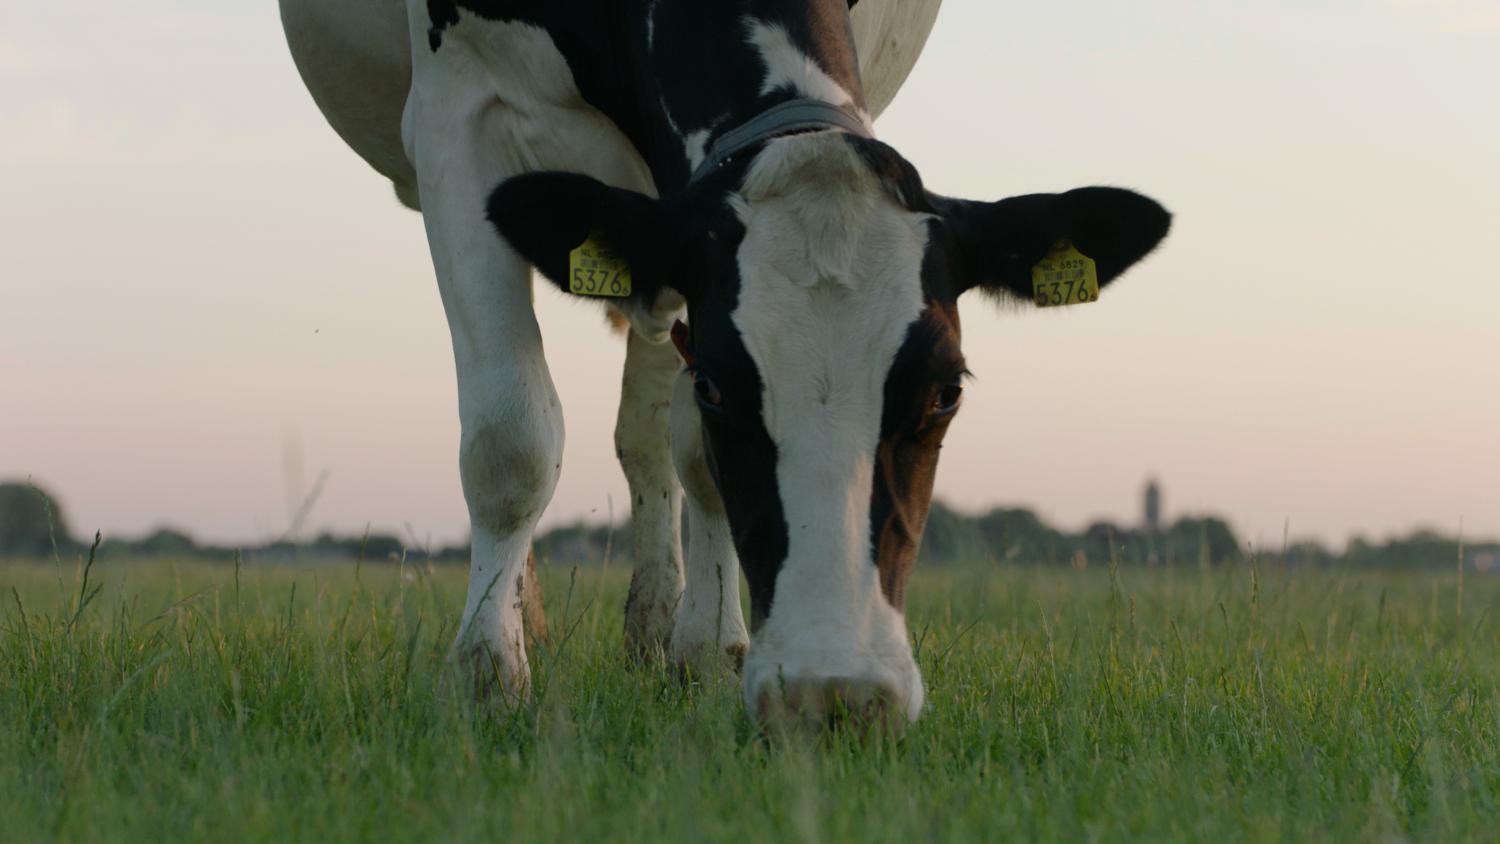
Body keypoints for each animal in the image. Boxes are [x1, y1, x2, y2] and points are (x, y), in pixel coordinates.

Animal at [282, 0, 1170, 725]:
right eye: (717, 385)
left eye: (945, 393)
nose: (832, 695)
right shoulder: (456, 110)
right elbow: (512, 439)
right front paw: (486, 674)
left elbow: (688, 456)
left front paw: (707, 648)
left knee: (642, 438)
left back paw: (656, 623)